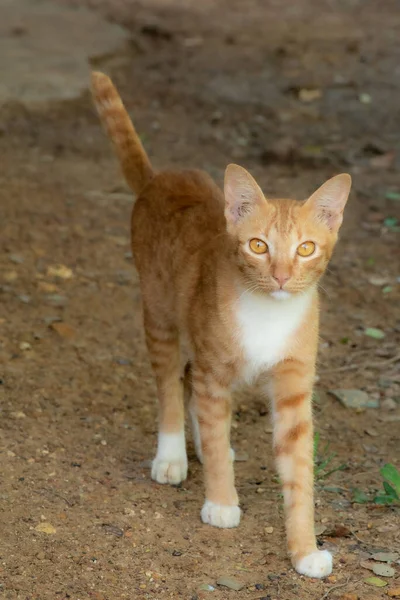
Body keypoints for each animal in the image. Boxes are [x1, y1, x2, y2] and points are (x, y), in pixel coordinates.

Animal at [90, 71, 350, 580]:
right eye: (257, 245)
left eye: (306, 249)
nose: (282, 276)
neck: (269, 312)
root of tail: (161, 177)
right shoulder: (214, 371)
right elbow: (208, 426)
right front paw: (222, 502)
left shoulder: (293, 386)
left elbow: (299, 475)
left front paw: (304, 549)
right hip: (160, 316)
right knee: (172, 385)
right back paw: (173, 453)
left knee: (191, 387)